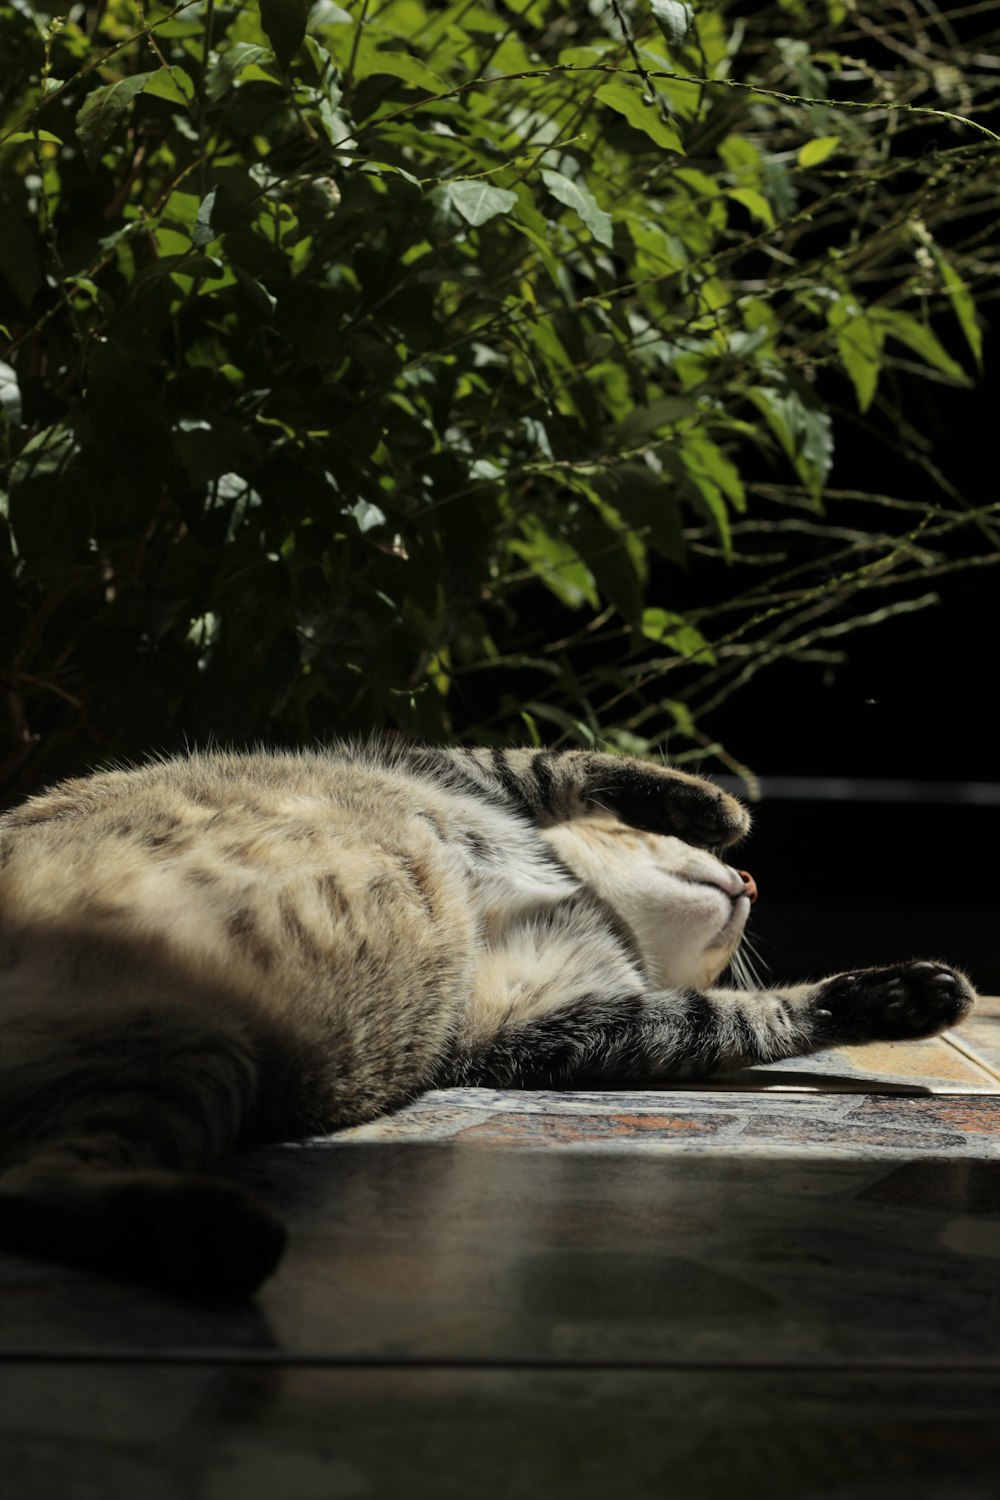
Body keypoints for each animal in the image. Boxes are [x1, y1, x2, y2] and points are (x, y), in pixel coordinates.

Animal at [0, 744, 971, 1296]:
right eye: (666, 844)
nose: (752, 881)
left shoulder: (558, 1026)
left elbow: (734, 1017)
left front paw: (894, 995)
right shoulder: (453, 768)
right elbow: (561, 756)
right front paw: (716, 806)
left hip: (179, 1056)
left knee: (29, 1188)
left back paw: (208, 1236)